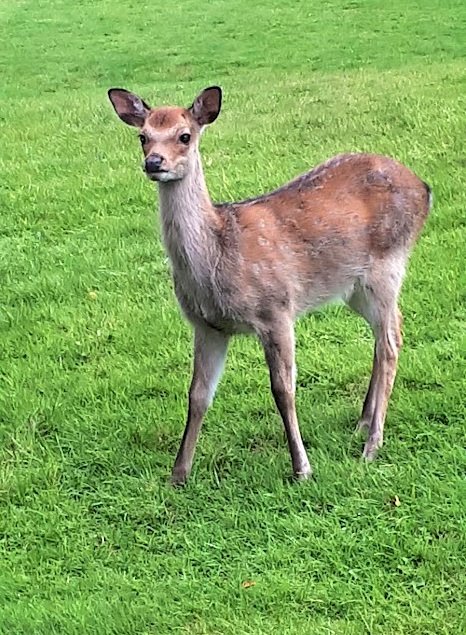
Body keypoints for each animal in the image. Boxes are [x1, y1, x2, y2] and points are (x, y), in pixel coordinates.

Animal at [107, 85, 432, 485]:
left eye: (184, 136)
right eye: (143, 136)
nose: (154, 162)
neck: (217, 257)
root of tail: (424, 188)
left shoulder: (276, 309)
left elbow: (283, 389)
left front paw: (302, 468)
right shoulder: (207, 325)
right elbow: (197, 395)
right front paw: (178, 475)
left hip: (387, 266)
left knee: (389, 343)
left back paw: (371, 445)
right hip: (354, 287)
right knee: (390, 331)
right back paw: (361, 422)